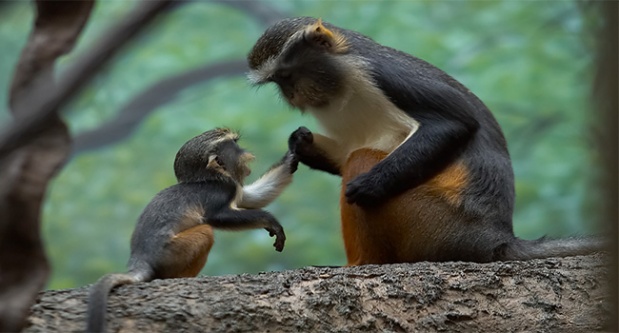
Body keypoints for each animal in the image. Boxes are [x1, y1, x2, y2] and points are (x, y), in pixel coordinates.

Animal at [86, 128, 298, 332]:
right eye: (235, 144)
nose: (245, 151)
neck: (209, 178)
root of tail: (140, 259)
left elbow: (250, 197)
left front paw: (294, 150)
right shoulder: (222, 190)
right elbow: (216, 217)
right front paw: (271, 221)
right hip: (170, 253)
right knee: (206, 232)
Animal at [246, 16, 604, 264]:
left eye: (287, 75)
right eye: (279, 82)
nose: (291, 94)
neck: (342, 78)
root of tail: (495, 238)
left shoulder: (381, 73)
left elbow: (454, 122)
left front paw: (369, 185)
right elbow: (345, 149)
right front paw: (300, 142)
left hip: (429, 223)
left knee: (361, 159)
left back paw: (363, 262)